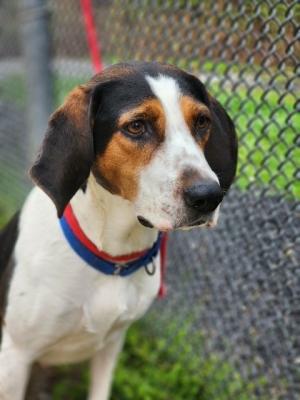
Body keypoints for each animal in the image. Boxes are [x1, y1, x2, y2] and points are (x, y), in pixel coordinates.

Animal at [0, 62, 237, 400]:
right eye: (136, 126)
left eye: (202, 121)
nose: (208, 196)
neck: (112, 254)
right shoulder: (16, 356)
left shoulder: (112, 343)